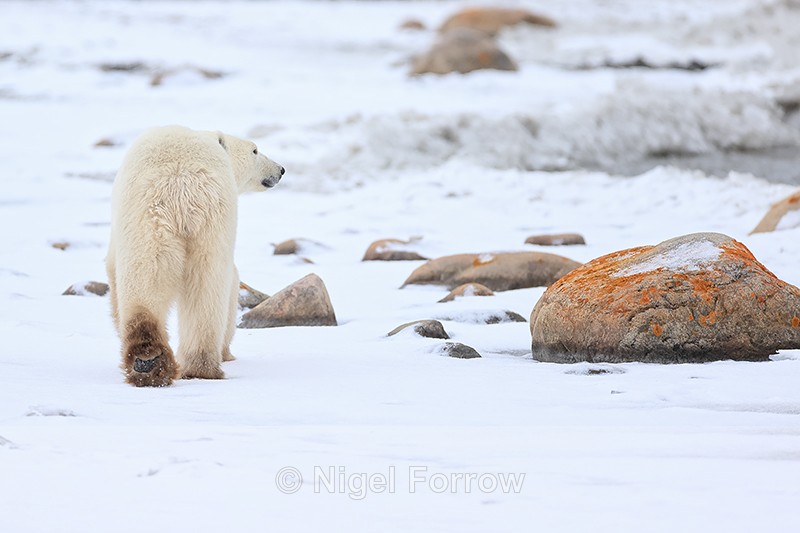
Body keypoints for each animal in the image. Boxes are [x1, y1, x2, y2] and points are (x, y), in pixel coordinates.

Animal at [105, 125, 284, 387]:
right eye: (254, 150)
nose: (280, 170)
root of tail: (182, 181)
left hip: (157, 221)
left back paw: (161, 363)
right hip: (198, 222)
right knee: (198, 285)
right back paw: (172, 363)